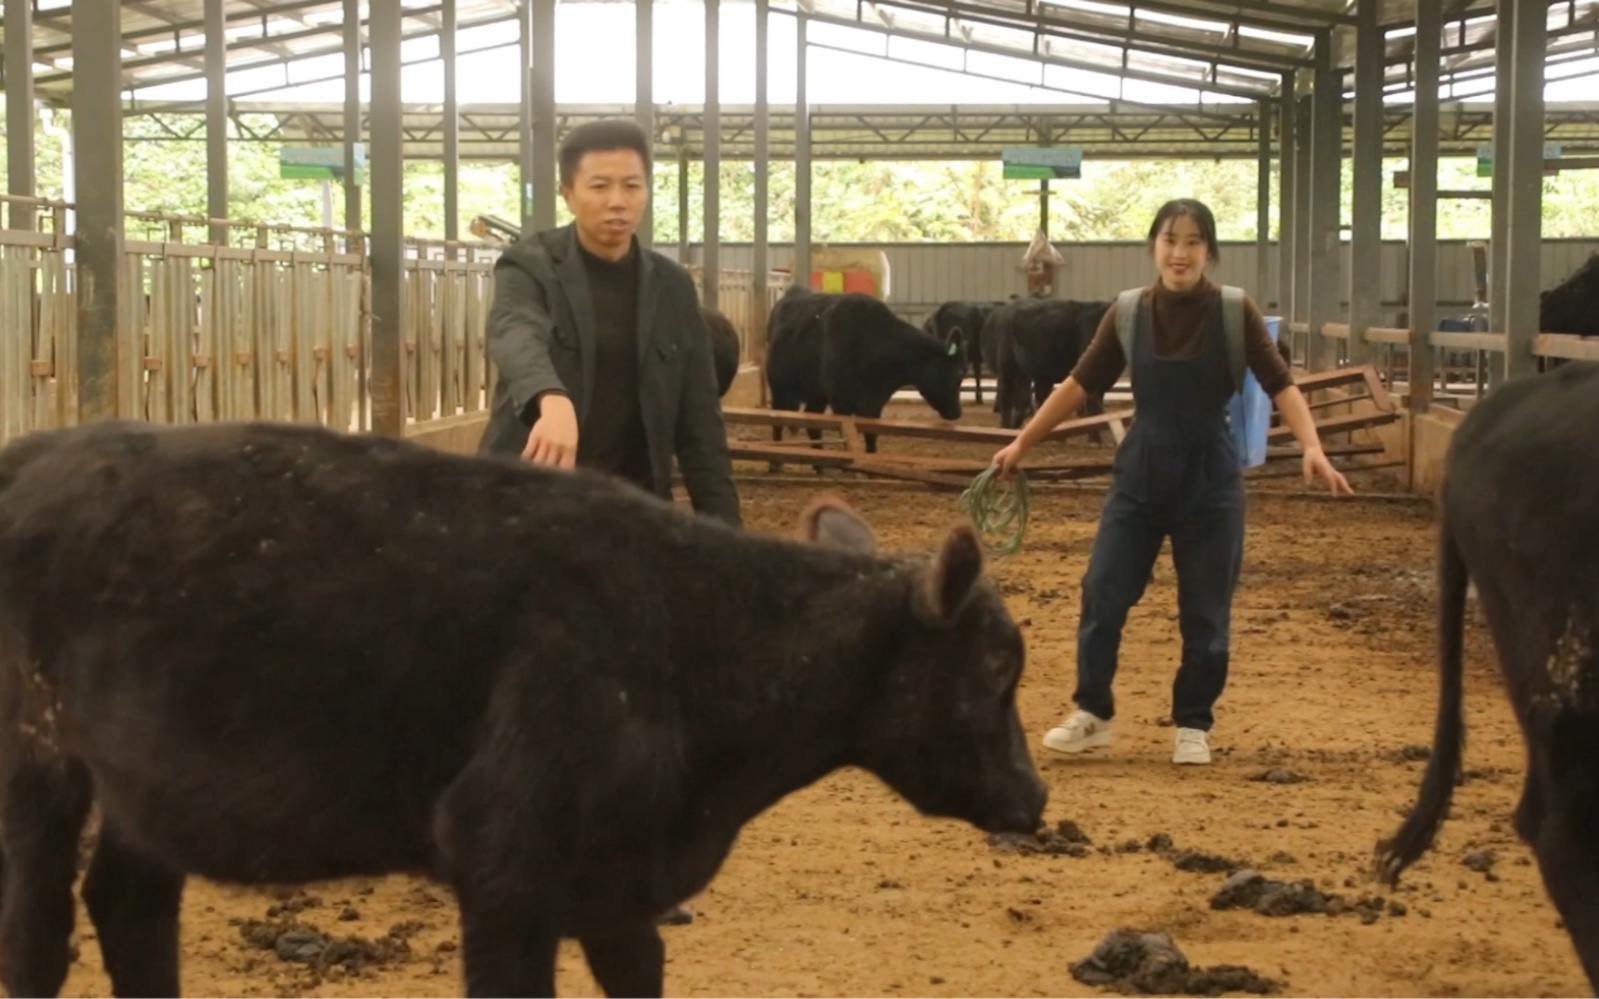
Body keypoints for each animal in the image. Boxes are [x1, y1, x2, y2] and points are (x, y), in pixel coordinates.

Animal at [0, 415, 1048, 991]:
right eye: (997, 665)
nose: (1034, 797)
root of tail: (37, 449)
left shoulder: (617, 884)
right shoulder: (506, 860)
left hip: (145, 776)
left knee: (130, 903)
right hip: (36, 763)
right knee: (39, 936)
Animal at [767, 286, 965, 453]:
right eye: (958, 373)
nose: (957, 413)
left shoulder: (874, 403)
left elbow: (871, 435)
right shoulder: (841, 401)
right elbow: (846, 436)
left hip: (816, 395)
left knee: (813, 424)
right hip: (779, 389)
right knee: (777, 421)